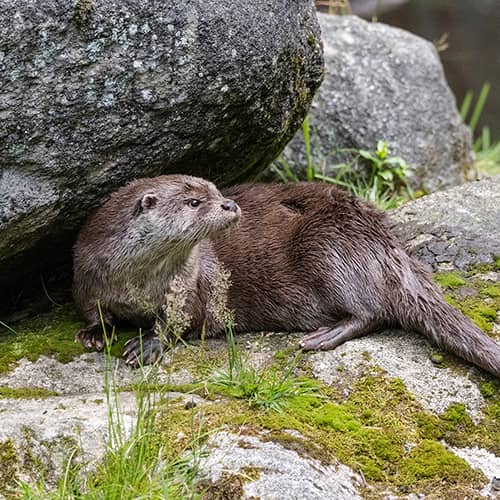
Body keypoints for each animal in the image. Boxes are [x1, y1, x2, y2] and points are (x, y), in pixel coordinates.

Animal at [72, 175, 500, 376]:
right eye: (194, 202)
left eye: (216, 191)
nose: (229, 204)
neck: (136, 284)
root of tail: (389, 244)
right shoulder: (86, 271)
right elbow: (91, 308)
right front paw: (94, 333)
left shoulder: (190, 286)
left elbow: (177, 321)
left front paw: (147, 344)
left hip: (328, 247)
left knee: (374, 312)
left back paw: (324, 336)